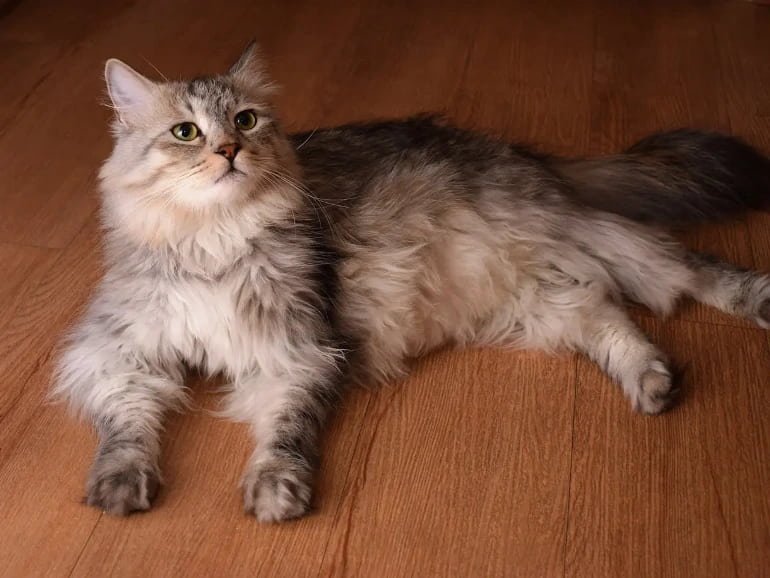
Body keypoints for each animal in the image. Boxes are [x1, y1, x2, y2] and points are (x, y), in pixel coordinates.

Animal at [52, 42, 768, 520]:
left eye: (247, 121)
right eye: (185, 132)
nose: (228, 151)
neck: (213, 242)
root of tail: (520, 155)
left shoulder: (300, 352)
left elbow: (285, 433)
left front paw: (276, 491)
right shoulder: (117, 352)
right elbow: (126, 424)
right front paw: (120, 483)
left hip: (567, 232)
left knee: (684, 268)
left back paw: (753, 301)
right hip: (535, 294)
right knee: (608, 314)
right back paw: (651, 381)